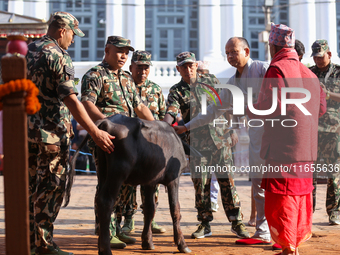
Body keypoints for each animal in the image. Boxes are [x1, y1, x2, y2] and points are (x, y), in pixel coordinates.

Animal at [65, 115, 193, 255]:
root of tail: (107, 121)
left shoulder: (150, 182)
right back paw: (106, 249)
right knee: (106, 201)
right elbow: (175, 209)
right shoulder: (173, 179)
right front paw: (182, 244)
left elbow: (150, 209)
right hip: (118, 172)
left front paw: (147, 242)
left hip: (102, 170)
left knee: (98, 200)